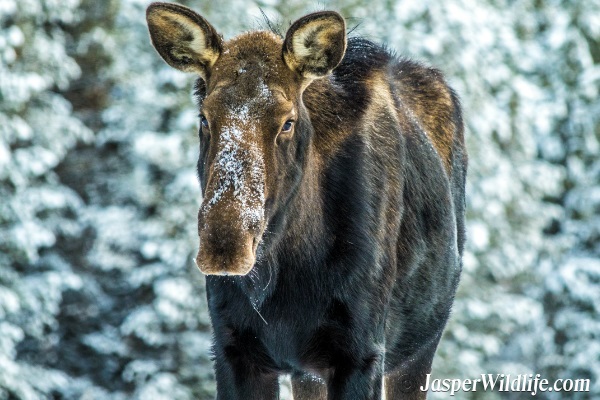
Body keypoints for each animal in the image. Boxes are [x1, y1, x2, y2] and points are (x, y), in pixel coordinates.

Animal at [148, 2, 466, 396]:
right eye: (204, 117)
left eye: (287, 121)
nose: (225, 245)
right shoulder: (233, 348)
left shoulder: (361, 352)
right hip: (308, 373)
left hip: (419, 348)